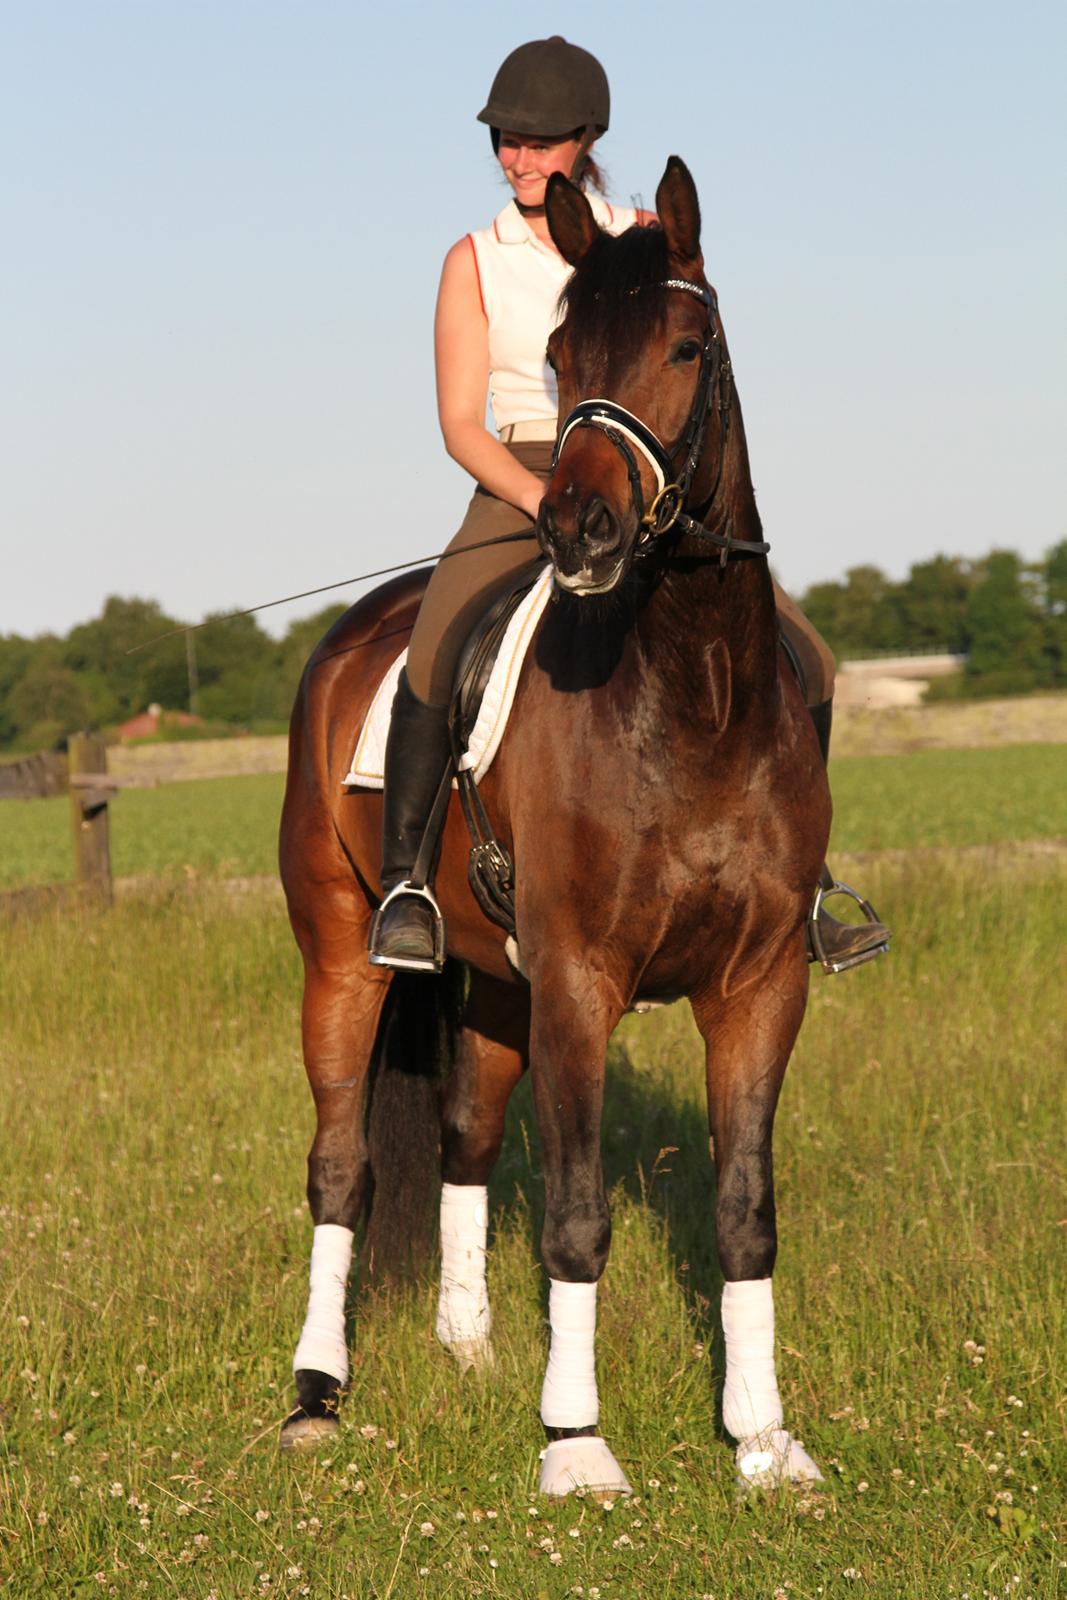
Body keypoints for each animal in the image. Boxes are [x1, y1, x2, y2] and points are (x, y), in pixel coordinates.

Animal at [279, 156, 831, 1491]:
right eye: (560, 350)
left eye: (685, 345)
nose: (576, 534)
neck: (694, 695)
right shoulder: (582, 978)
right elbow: (578, 1217)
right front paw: (576, 1445)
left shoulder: (760, 983)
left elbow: (745, 1210)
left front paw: (762, 1440)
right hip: (340, 955)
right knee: (340, 1163)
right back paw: (317, 1392)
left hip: (491, 980)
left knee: (467, 1136)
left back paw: (468, 1349)